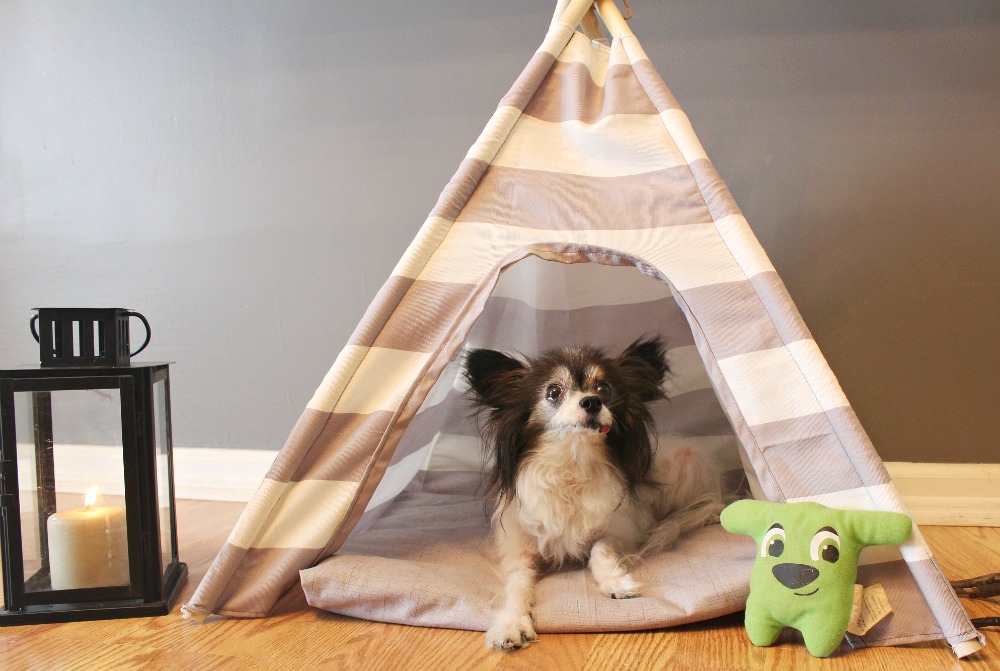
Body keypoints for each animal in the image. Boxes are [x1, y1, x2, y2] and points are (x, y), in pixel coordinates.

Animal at [464, 336, 724, 652]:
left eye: (604, 389)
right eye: (553, 392)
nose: (592, 401)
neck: (572, 465)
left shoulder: (621, 528)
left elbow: (599, 550)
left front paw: (615, 583)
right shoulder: (519, 549)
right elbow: (518, 585)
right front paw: (511, 624)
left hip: (686, 459)